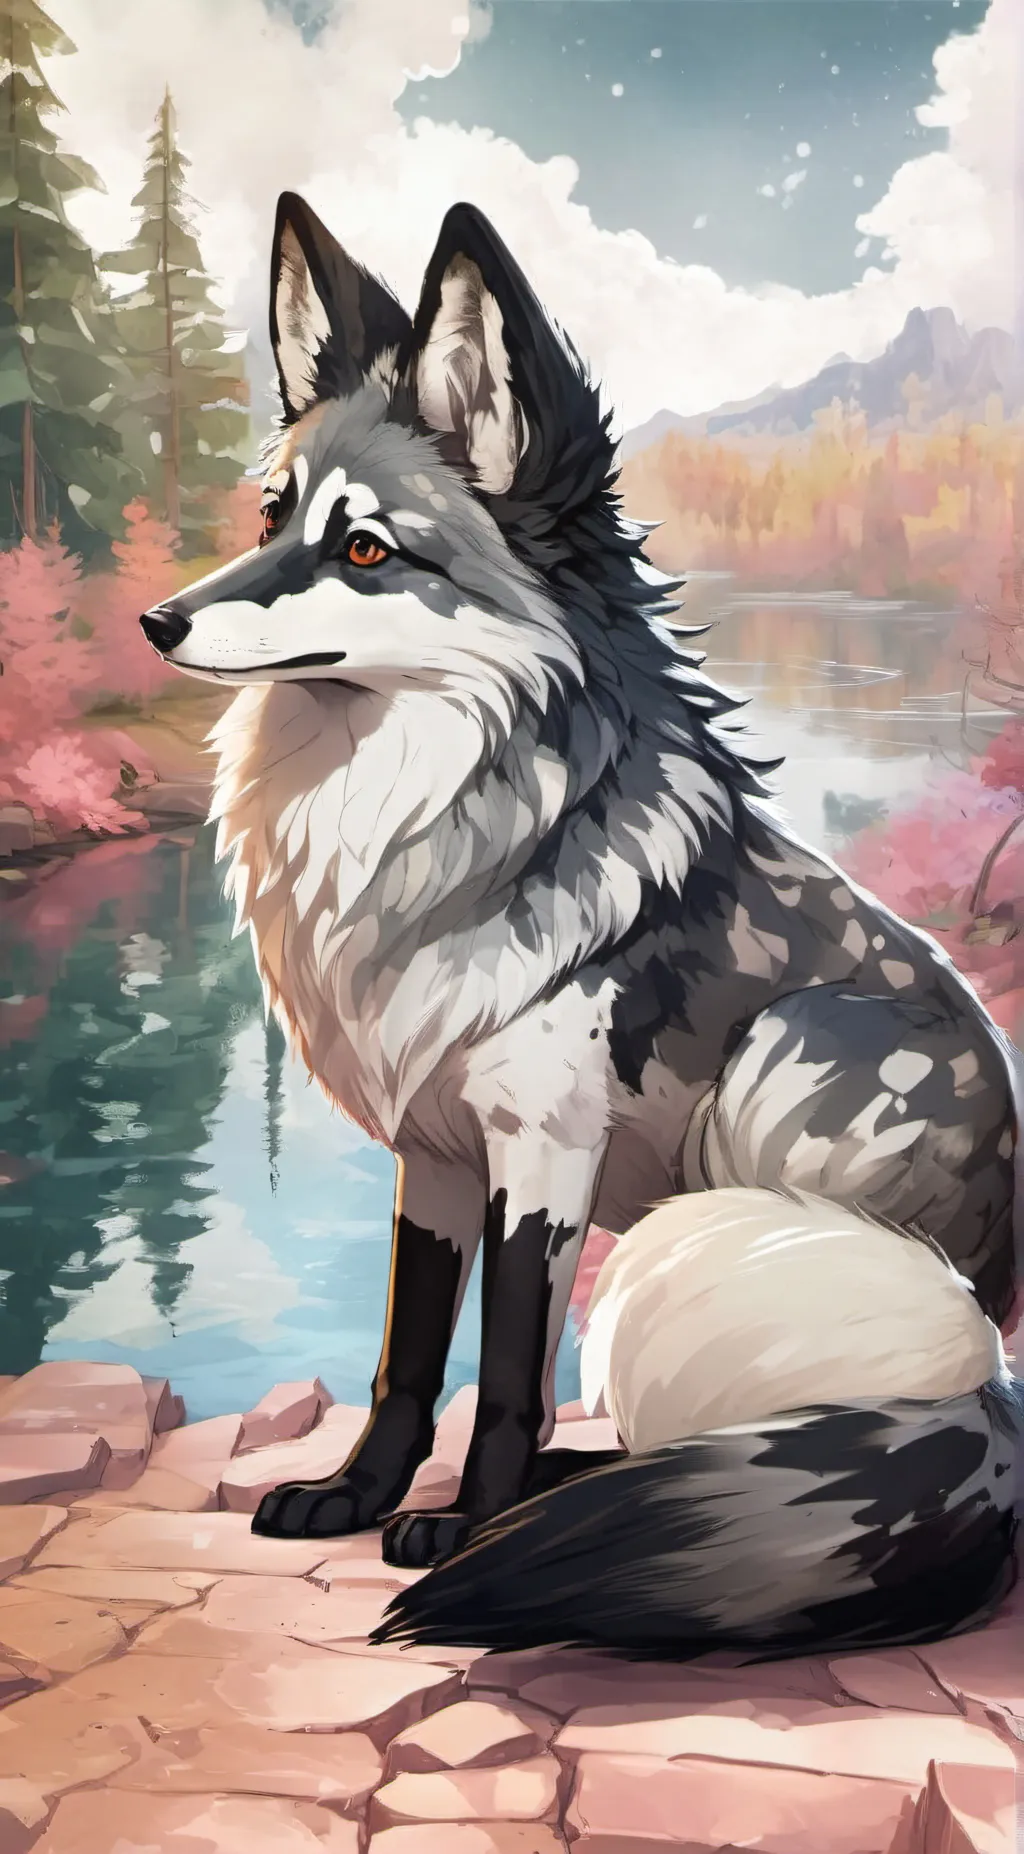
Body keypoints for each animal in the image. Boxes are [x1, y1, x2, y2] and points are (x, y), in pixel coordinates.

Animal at [140, 189, 1022, 1659]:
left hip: (757, 1122)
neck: (407, 840)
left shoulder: (539, 1152)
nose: (156, 621)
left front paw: (459, 1522)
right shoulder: (434, 1158)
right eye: (270, 514)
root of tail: (996, 1375)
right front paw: (356, 1495)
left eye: (363, 548)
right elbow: (404, 1358)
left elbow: (503, 1367)